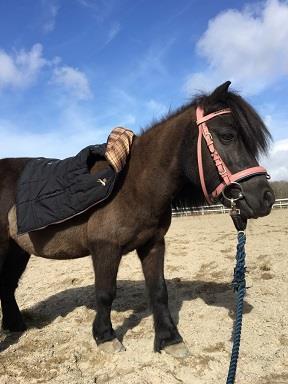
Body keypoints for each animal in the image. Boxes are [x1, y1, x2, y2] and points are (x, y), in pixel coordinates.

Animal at [0, 82, 274, 358]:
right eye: (227, 136)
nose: (266, 197)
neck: (133, 186)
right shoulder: (105, 249)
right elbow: (105, 293)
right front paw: (106, 337)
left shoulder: (152, 244)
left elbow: (158, 290)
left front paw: (170, 339)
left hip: (17, 251)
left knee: (8, 286)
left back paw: (16, 325)